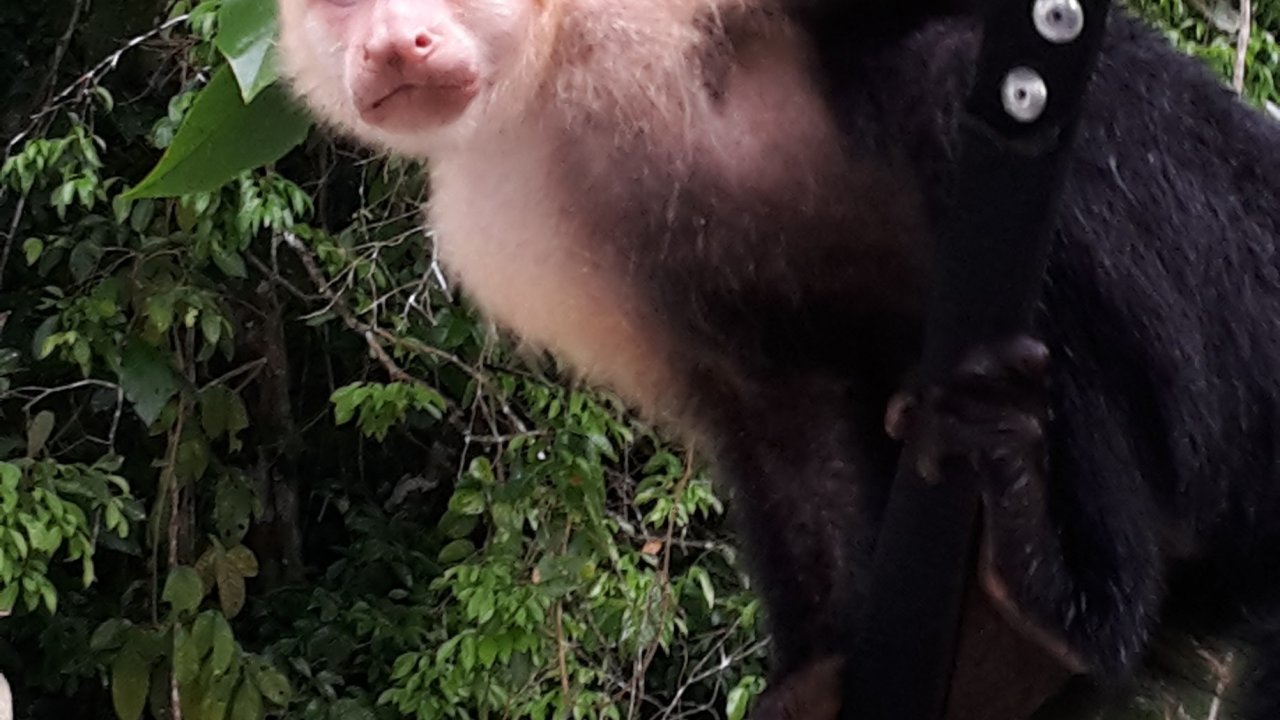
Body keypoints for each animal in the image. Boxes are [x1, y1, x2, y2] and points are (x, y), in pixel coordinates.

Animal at [275, 0, 1280, 718]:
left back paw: (1071, 593)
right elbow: (769, 401)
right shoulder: (503, 226)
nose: (394, 46)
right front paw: (820, 674)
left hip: (1242, 302)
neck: (562, 62)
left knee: (957, 70)